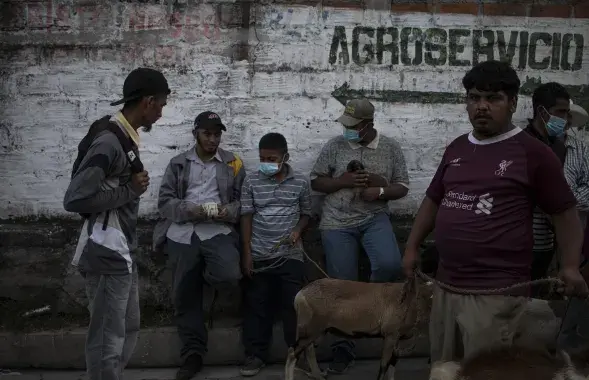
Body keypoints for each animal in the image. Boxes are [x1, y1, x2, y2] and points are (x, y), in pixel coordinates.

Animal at [282, 276, 430, 380]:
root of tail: (300, 295)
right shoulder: (390, 336)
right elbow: (384, 366)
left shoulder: (398, 339)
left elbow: (392, 364)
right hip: (311, 330)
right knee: (292, 353)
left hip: (318, 331)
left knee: (309, 351)